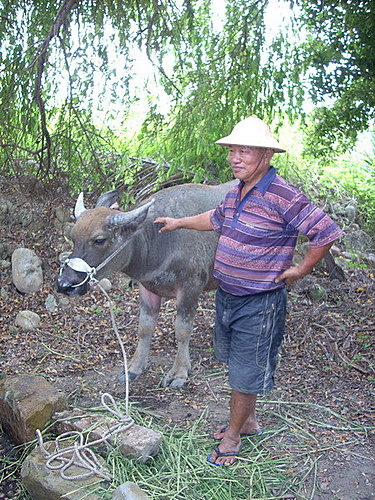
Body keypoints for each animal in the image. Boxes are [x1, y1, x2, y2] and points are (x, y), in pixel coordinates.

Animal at [56, 182, 235, 388]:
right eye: (73, 237)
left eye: (99, 240)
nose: (64, 284)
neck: (159, 241)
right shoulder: (147, 287)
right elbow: (144, 328)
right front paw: (134, 368)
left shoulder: (190, 288)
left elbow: (182, 330)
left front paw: (179, 372)